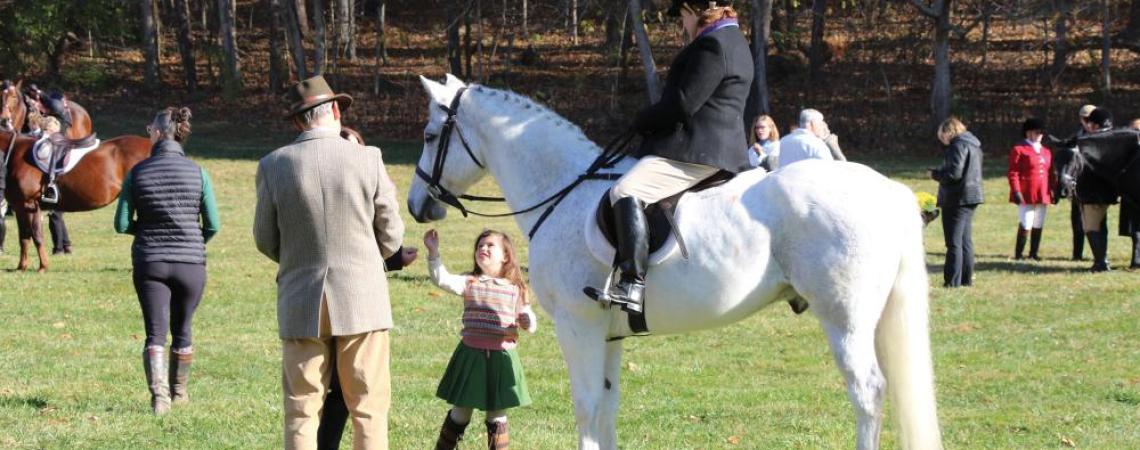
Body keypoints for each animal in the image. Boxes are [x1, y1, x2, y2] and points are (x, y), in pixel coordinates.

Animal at [1, 130, 151, 271]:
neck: (16, 153)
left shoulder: (30, 205)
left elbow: (36, 236)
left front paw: (43, 266)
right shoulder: (19, 207)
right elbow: (24, 237)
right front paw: (21, 267)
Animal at [410, 75, 943, 448]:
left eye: (431, 134)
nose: (418, 205)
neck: (562, 188)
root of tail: (887, 188)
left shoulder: (578, 325)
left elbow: (586, 406)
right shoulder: (608, 333)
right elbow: (607, 407)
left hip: (844, 318)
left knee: (868, 392)